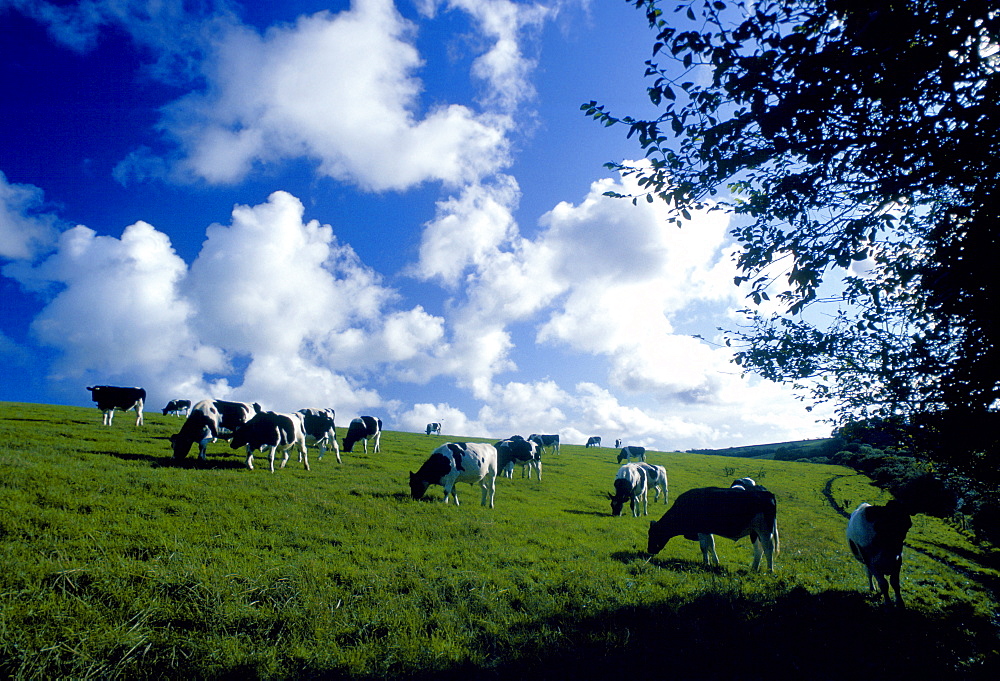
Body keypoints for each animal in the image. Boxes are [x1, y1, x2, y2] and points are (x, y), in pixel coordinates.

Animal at [648, 486, 780, 572]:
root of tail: (767, 493)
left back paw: (769, 571)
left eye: (653, 534)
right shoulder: (707, 530)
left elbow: (704, 547)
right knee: (759, 549)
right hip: (755, 532)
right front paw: (715, 562)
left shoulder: (701, 530)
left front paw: (706, 562)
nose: (649, 550)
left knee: (768, 549)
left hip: (765, 531)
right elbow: (711, 545)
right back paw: (754, 568)